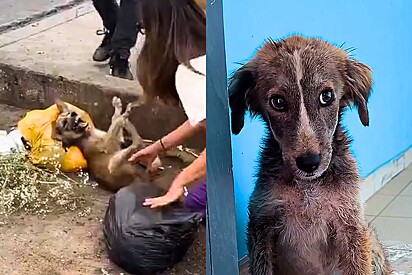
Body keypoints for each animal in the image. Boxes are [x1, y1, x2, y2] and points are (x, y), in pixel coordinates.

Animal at [229, 36, 392, 275]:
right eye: (278, 102)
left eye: (327, 96)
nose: (309, 163)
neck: (309, 187)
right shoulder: (261, 225)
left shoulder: (351, 225)